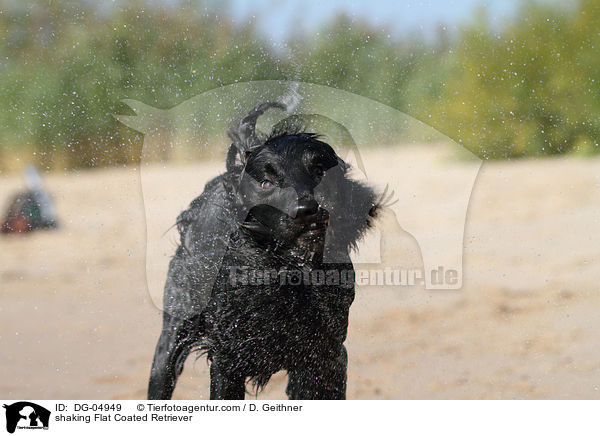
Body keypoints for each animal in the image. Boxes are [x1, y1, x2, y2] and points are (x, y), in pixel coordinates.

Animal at [148, 101, 382, 398]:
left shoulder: (325, 357)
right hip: (170, 342)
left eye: (319, 172)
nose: (306, 210)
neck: (288, 272)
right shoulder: (228, 361)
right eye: (267, 183)